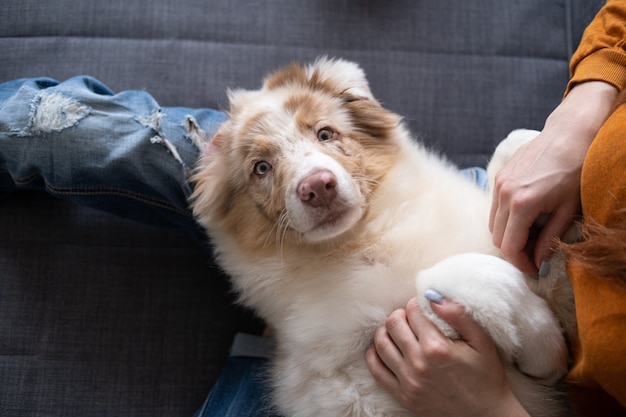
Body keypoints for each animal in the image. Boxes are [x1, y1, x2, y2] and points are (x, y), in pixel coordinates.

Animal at [193, 58, 572, 416]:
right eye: (261, 168)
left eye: (325, 134)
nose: (317, 187)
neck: (370, 233)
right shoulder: (370, 357)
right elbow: (460, 274)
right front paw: (548, 349)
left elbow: (513, 144)